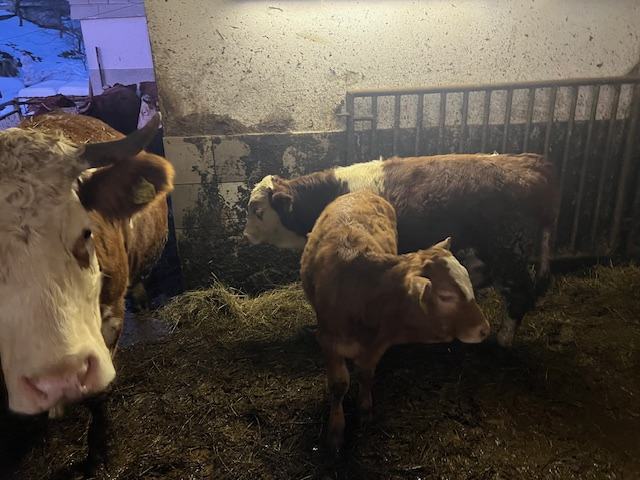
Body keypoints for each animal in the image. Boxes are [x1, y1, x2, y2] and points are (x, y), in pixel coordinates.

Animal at [244, 153, 557, 348]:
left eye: (257, 211)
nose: (246, 235)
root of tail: (531, 163)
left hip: (507, 250)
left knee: (520, 293)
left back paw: (502, 340)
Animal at [300, 191, 490, 456]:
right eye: (445, 296)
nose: (484, 329)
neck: (362, 293)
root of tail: (360, 191)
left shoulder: (377, 344)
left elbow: (366, 374)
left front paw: (365, 410)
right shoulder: (329, 340)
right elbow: (339, 385)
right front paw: (335, 432)